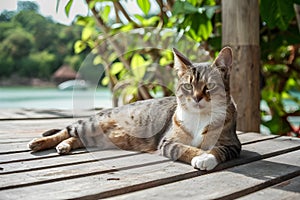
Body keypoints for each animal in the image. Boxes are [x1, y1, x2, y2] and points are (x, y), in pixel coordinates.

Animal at [27, 46, 240, 170]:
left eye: (209, 86)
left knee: (78, 138)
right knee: (67, 129)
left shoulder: (233, 145)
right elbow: (185, 148)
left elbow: (219, 150)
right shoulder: (168, 142)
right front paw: (201, 156)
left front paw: (207, 157)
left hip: (97, 137)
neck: (199, 116)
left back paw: (64, 145)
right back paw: (40, 142)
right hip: (91, 124)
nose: (196, 98)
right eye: (188, 86)